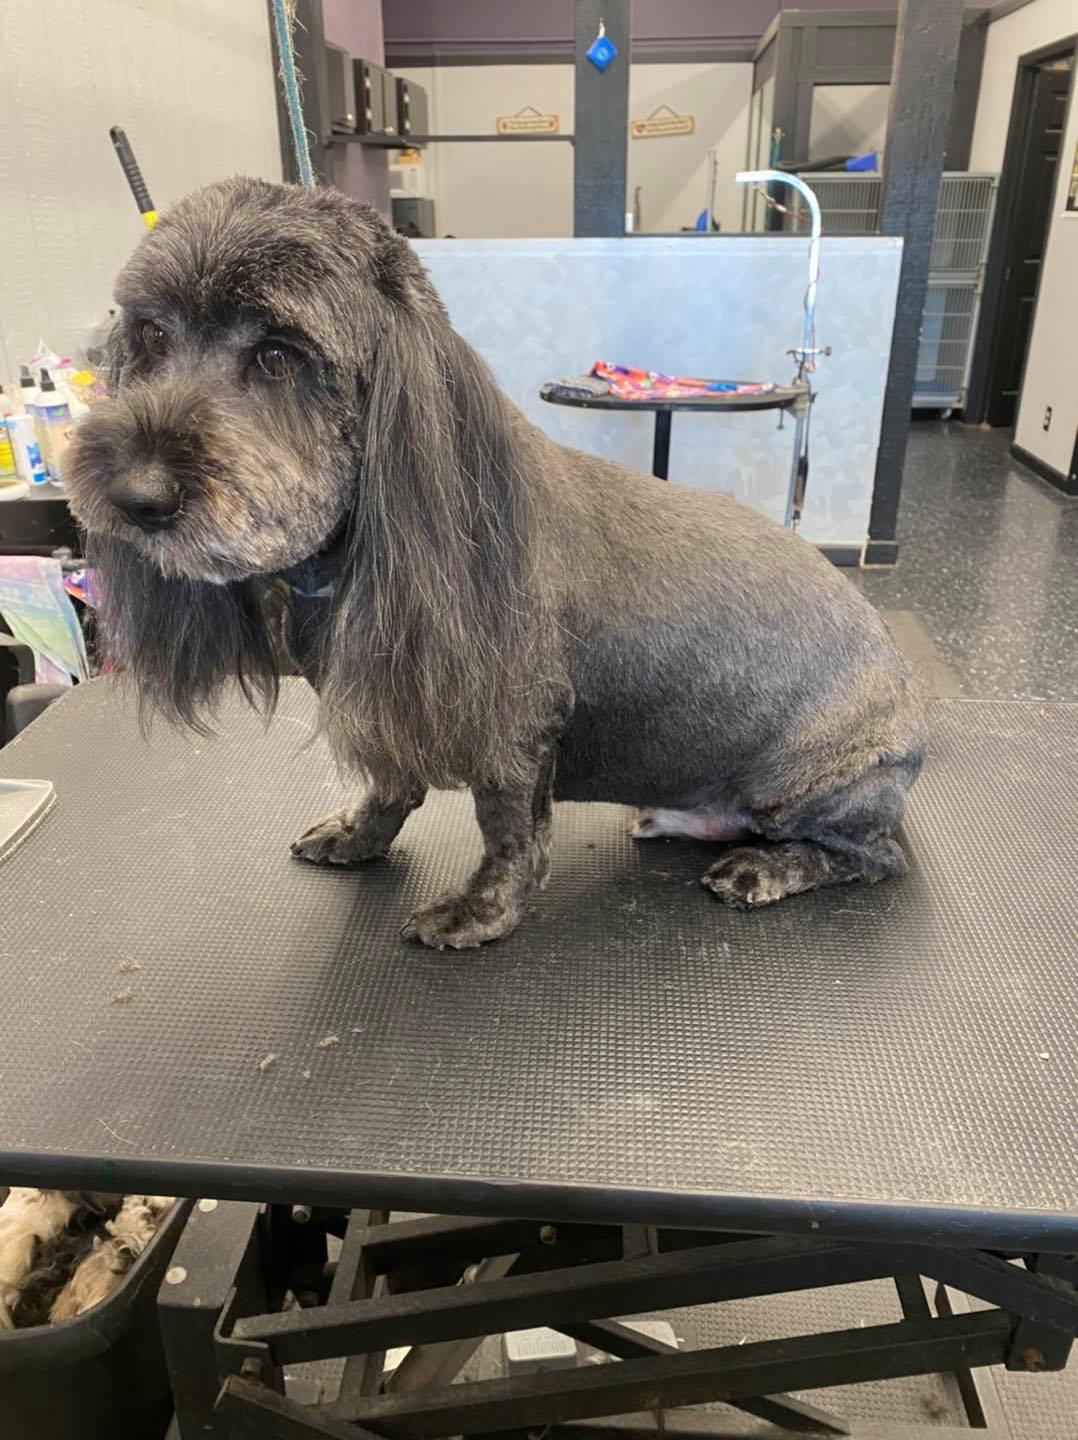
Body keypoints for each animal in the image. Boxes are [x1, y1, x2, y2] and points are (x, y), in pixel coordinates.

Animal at [65, 178, 924, 951]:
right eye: (151, 339)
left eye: (279, 355)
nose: (135, 495)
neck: (349, 560)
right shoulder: (390, 708)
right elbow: (390, 784)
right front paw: (360, 834)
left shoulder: (515, 724)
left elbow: (510, 831)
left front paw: (481, 911)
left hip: (811, 784)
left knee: (880, 856)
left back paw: (771, 868)